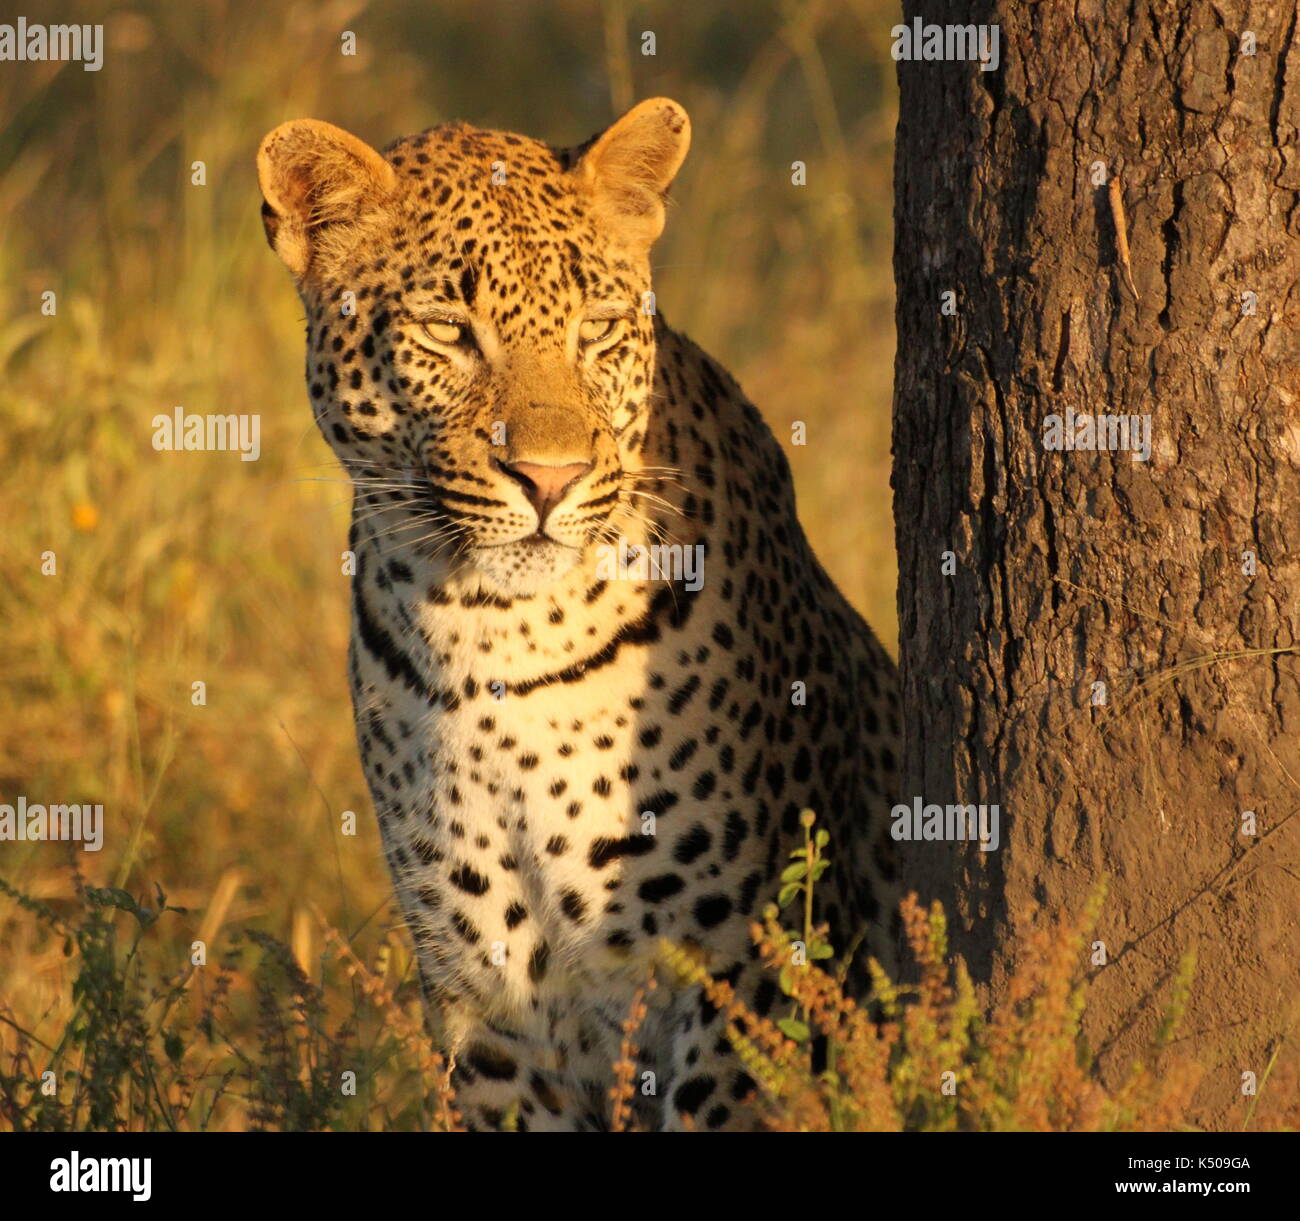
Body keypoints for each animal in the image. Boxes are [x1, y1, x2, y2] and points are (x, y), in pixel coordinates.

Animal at [257, 97, 900, 1131]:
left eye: (597, 329)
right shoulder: (484, 996)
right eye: (447, 329)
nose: (550, 477)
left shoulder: (740, 968)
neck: (494, 634)